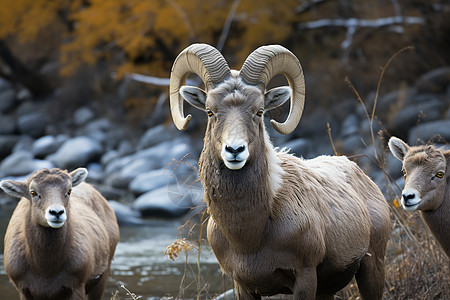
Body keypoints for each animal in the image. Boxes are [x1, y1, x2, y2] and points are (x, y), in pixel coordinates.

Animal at [0, 168, 119, 300]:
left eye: (69, 190)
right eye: (33, 192)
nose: (57, 212)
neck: (45, 271)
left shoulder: (77, 285)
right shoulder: (22, 288)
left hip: (103, 274)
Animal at [169, 43, 390, 298]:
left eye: (259, 111)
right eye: (209, 111)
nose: (234, 150)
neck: (250, 239)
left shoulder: (304, 277)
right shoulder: (242, 285)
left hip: (372, 268)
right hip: (327, 290)